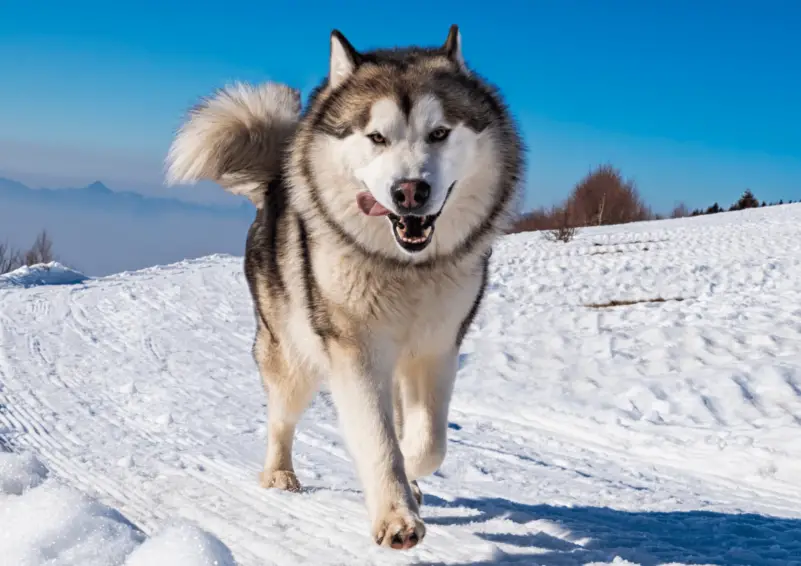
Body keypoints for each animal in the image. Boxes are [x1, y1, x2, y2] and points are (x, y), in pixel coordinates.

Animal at [166, 25, 520, 552]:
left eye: (440, 133)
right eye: (376, 137)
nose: (409, 191)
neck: (403, 268)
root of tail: (274, 183)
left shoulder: (438, 348)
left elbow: (428, 442)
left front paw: (411, 477)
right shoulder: (355, 348)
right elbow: (378, 437)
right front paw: (396, 514)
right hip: (290, 354)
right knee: (281, 417)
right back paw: (279, 475)